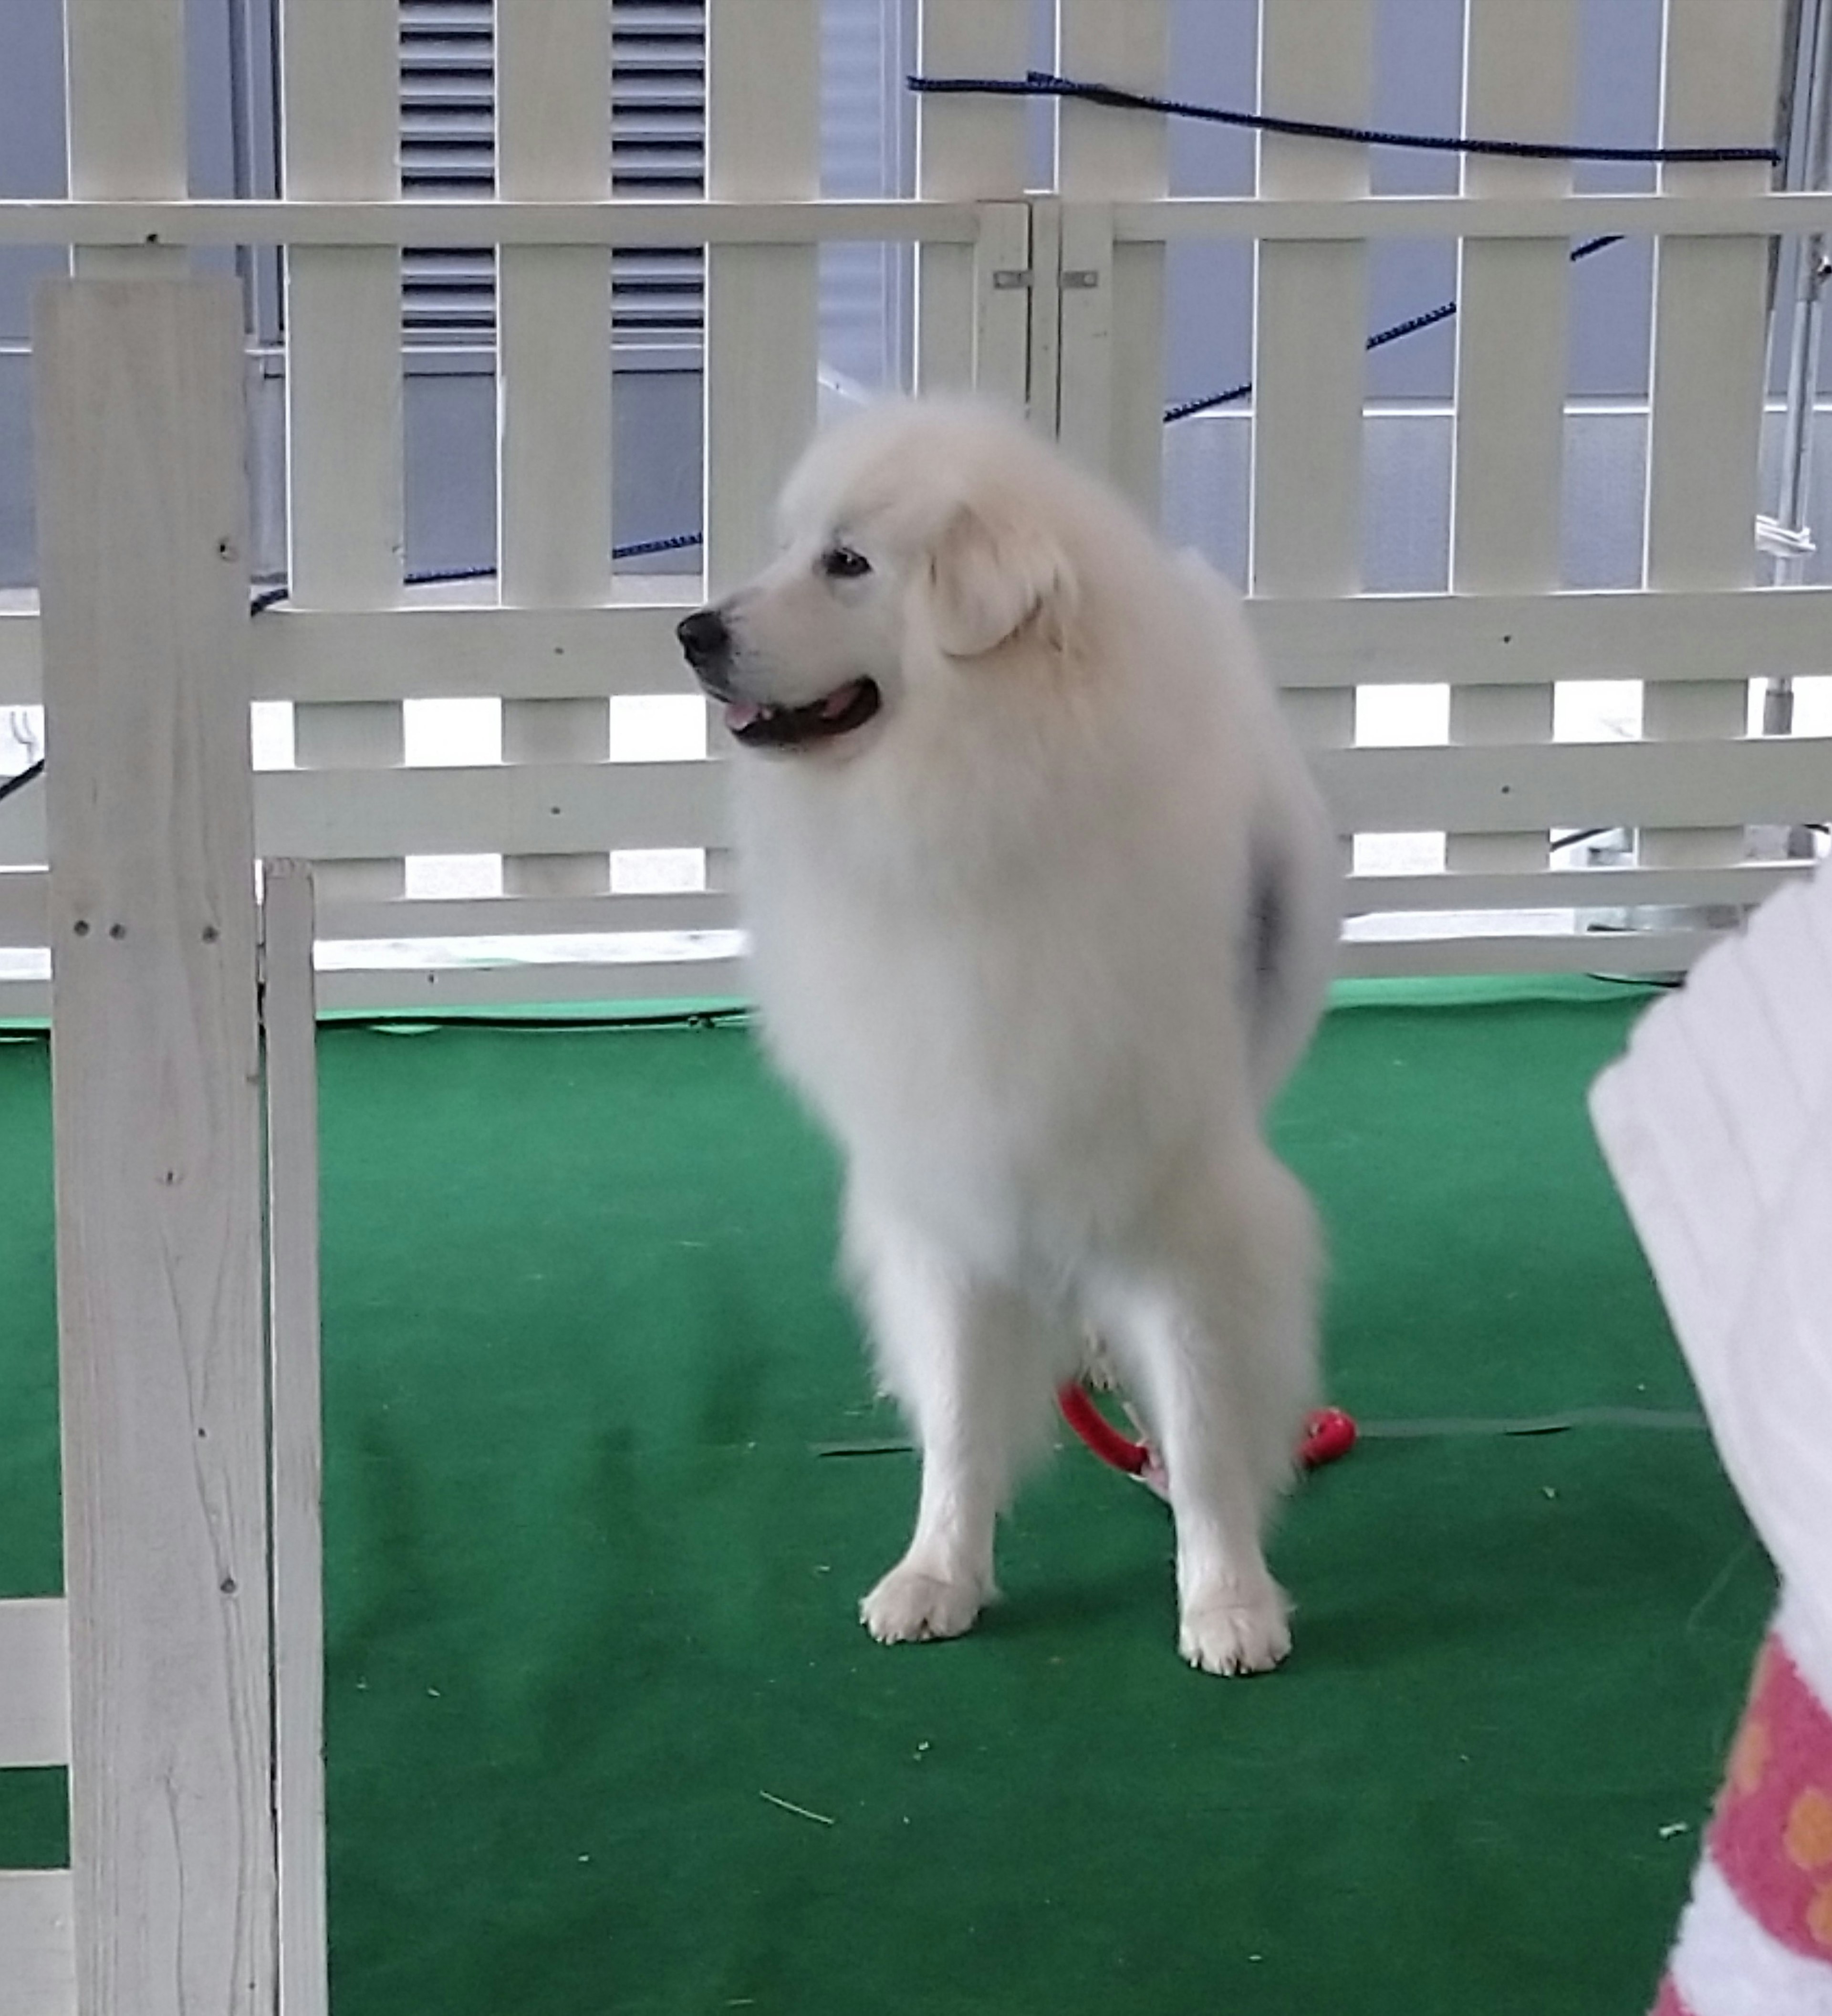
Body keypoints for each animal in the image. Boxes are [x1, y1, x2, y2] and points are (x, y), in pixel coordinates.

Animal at [677, 397, 1338, 1669]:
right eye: (788, 549)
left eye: (847, 563)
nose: (691, 631)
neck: (978, 814)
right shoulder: (952, 1175)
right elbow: (958, 1410)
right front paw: (939, 1572)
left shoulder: (1176, 1185)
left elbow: (1202, 1404)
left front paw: (1226, 1597)